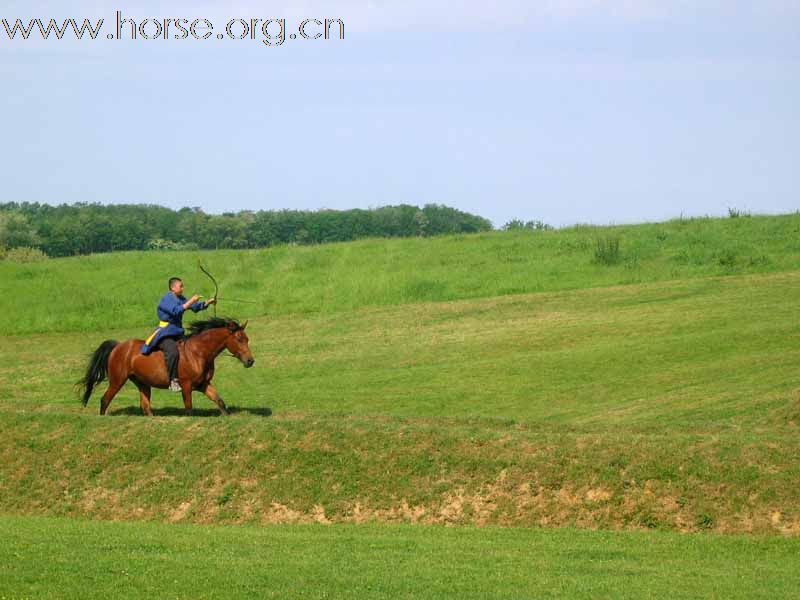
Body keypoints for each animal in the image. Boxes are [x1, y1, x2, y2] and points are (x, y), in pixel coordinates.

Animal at [79, 318, 255, 418]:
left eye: (247, 339)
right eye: (239, 339)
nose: (250, 361)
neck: (198, 353)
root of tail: (118, 346)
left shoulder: (203, 384)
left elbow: (219, 401)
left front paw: (226, 417)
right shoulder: (186, 385)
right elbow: (189, 409)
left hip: (142, 383)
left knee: (145, 406)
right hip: (117, 381)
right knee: (105, 400)